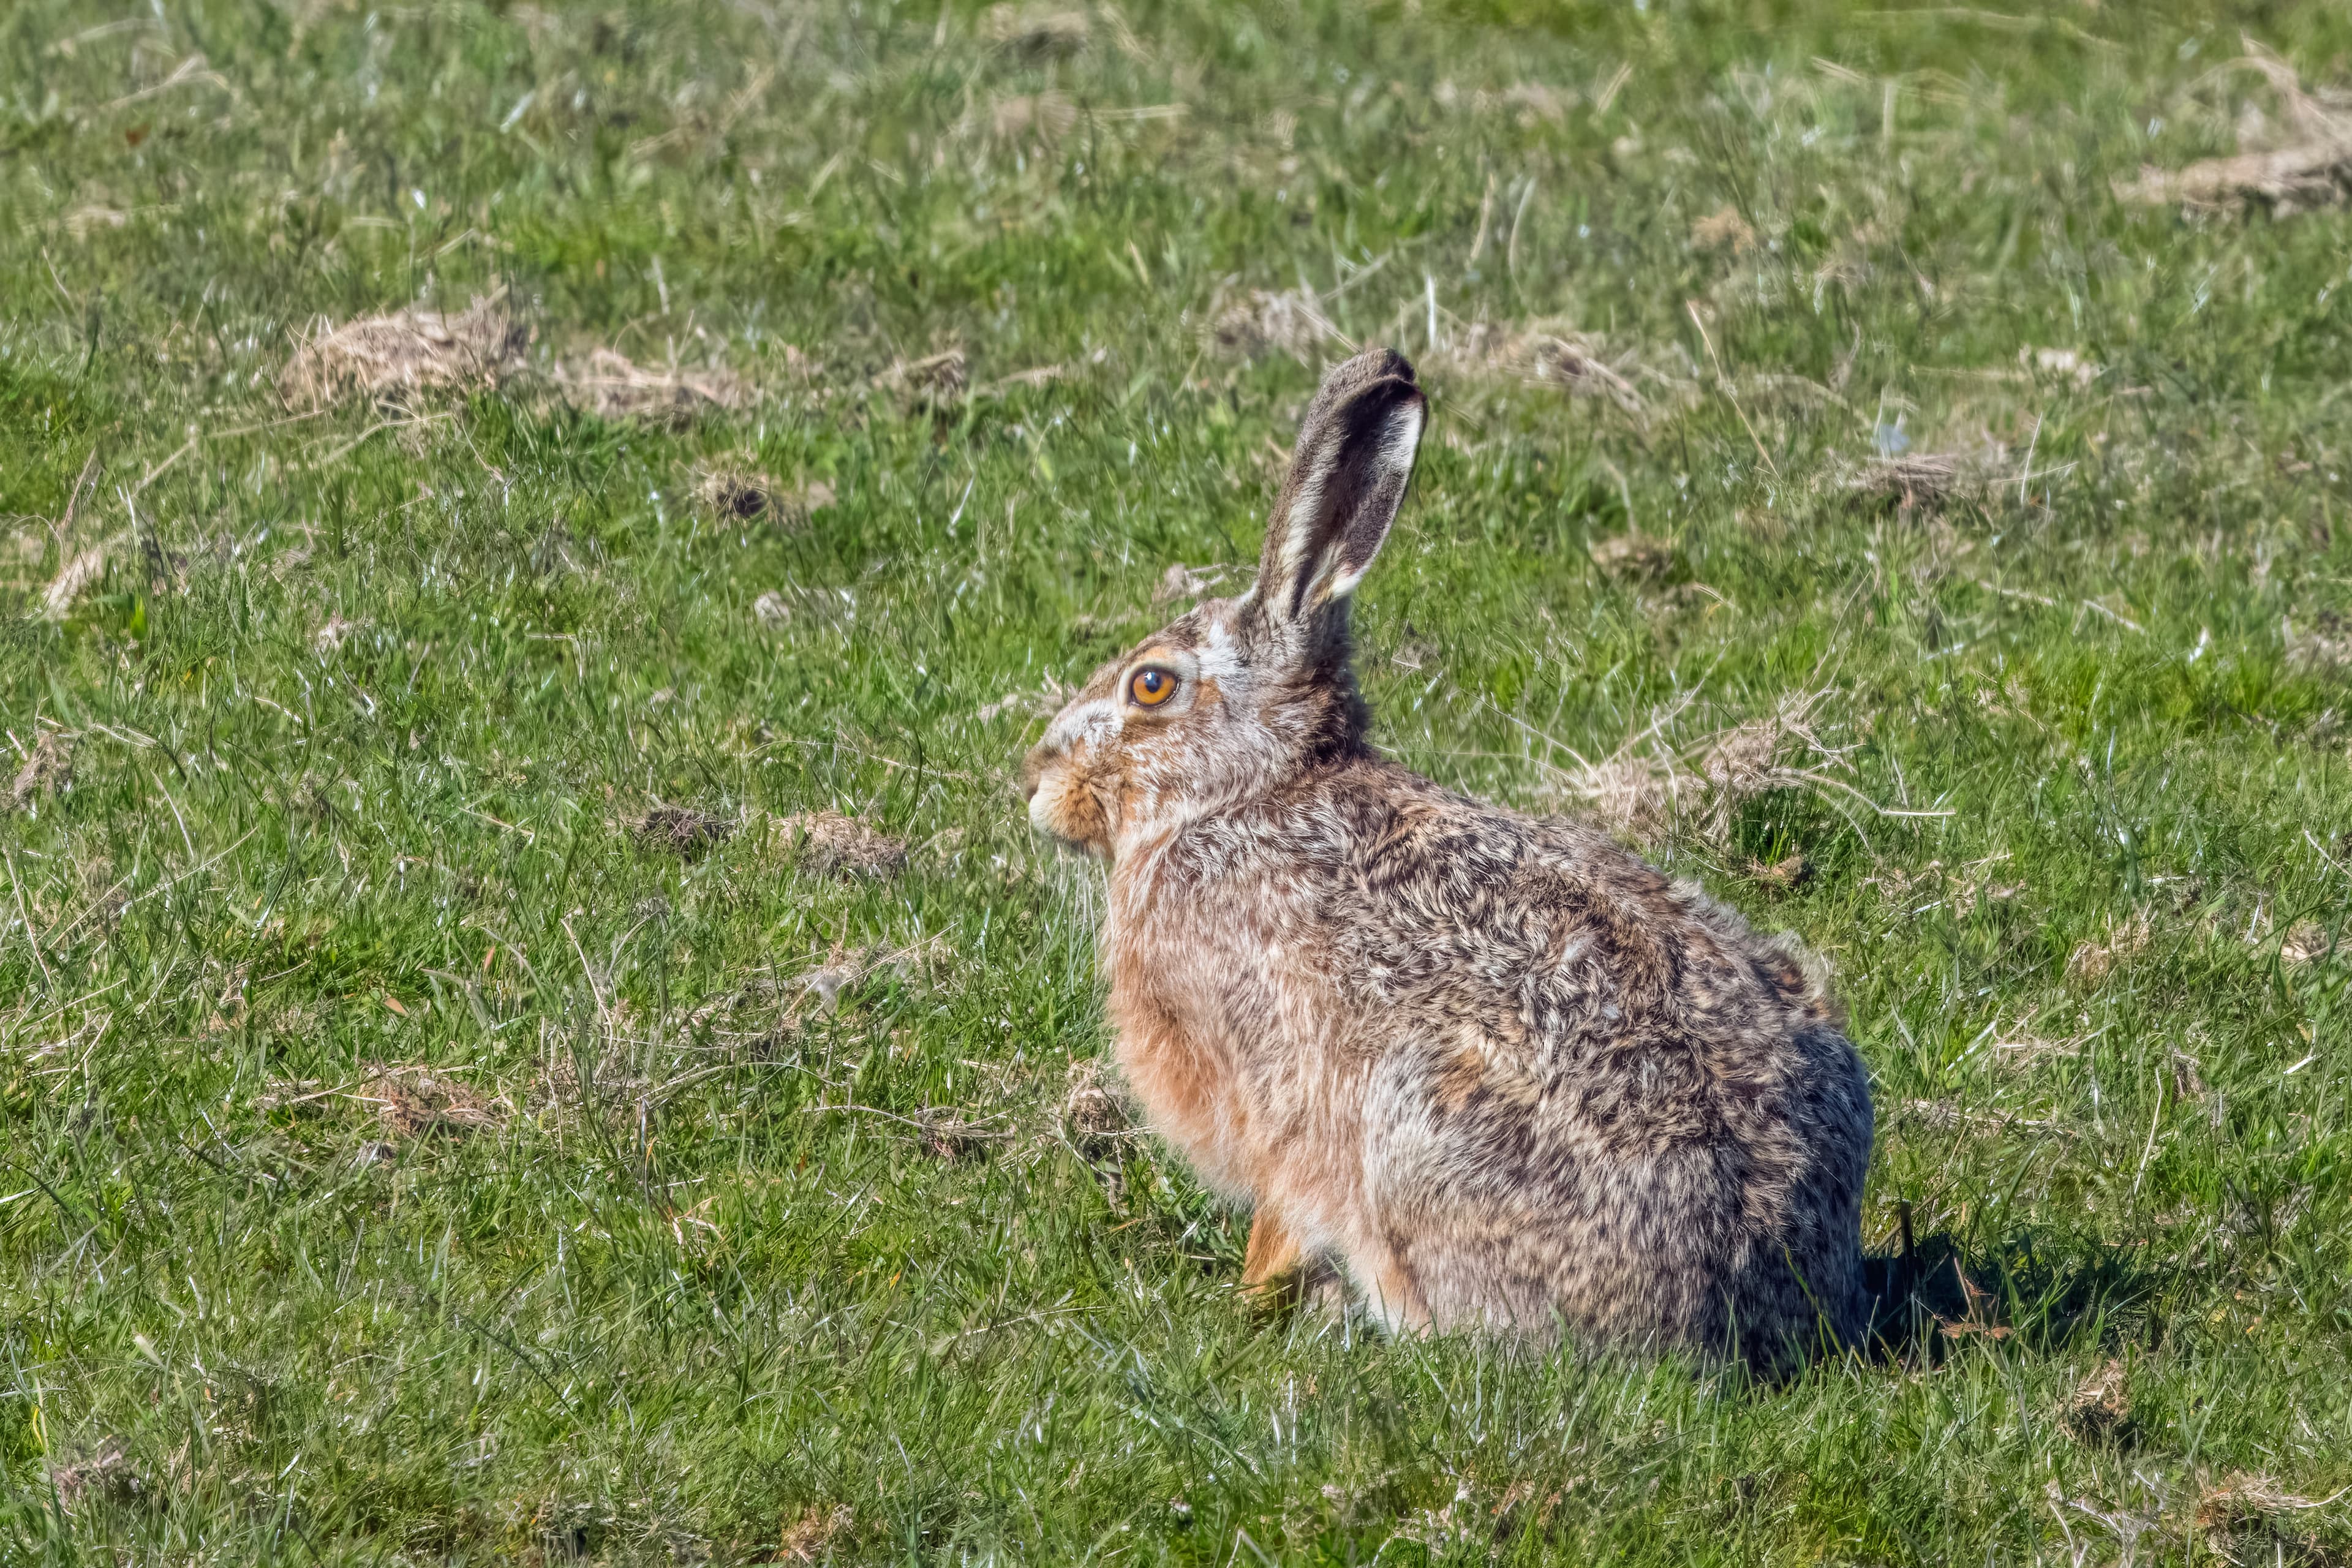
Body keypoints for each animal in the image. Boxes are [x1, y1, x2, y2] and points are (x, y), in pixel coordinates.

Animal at [1021, 346, 1874, 1373]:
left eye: (1152, 686)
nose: (1035, 780)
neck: (1247, 790)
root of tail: (1758, 1298)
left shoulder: (1264, 1076)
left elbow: (1282, 1199)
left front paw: (1247, 1300)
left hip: (1417, 1125)